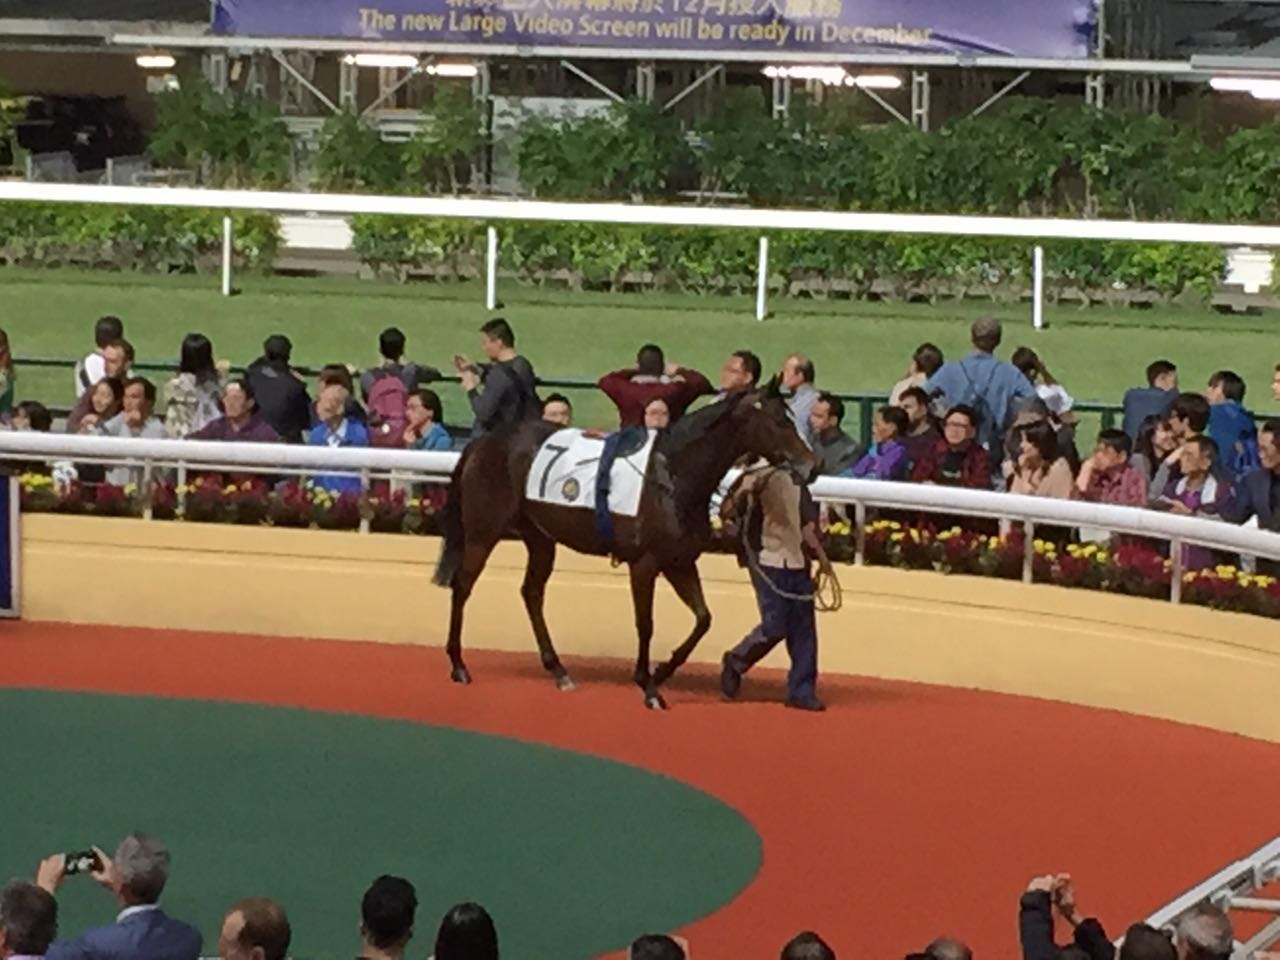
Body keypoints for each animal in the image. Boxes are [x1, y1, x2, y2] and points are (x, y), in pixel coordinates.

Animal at [435, 386, 814, 711]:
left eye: (792, 417)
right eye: (779, 420)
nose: (812, 465)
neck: (671, 475)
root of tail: (482, 442)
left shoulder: (679, 562)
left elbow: (703, 619)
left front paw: (662, 672)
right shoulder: (644, 564)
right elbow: (645, 623)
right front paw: (648, 686)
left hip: (540, 538)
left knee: (531, 593)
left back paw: (558, 671)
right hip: (483, 533)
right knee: (463, 586)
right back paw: (458, 665)